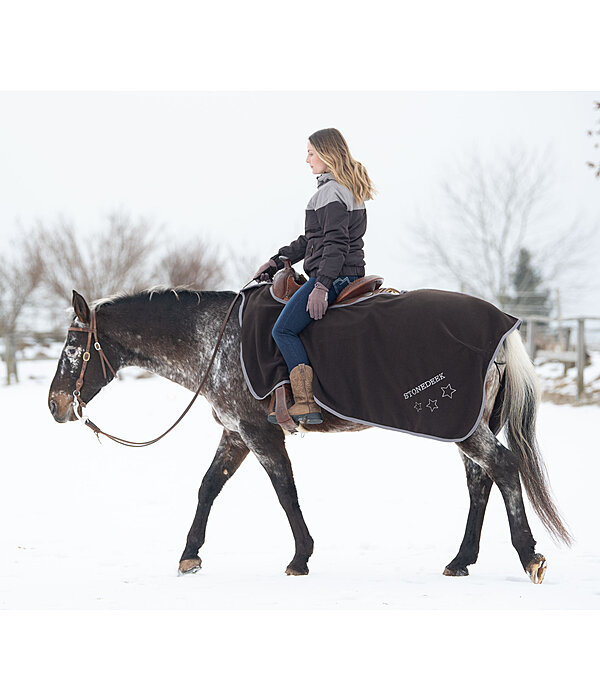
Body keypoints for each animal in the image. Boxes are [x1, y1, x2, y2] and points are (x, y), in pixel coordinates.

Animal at [48, 288, 572, 584]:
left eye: (73, 345)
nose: (54, 404)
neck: (214, 338)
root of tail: (503, 328)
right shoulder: (236, 435)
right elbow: (208, 488)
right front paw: (189, 556)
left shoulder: (259, 435)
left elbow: (285, 492)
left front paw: (300, 557)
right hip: (466, 426)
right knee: (480, 482)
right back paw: (462, 560)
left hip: (465, 429)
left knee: (503, 468)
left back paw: (528, 556)